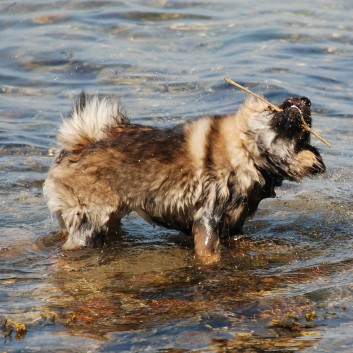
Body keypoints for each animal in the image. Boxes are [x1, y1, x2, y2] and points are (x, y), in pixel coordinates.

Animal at [43, 91, 324, 262]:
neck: (251, 153)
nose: (306, 99)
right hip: (88, 227)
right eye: (272, 107)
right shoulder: (207, 217)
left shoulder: (231, 224)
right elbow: (209, 253)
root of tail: (79, 147)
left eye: (304, 137)